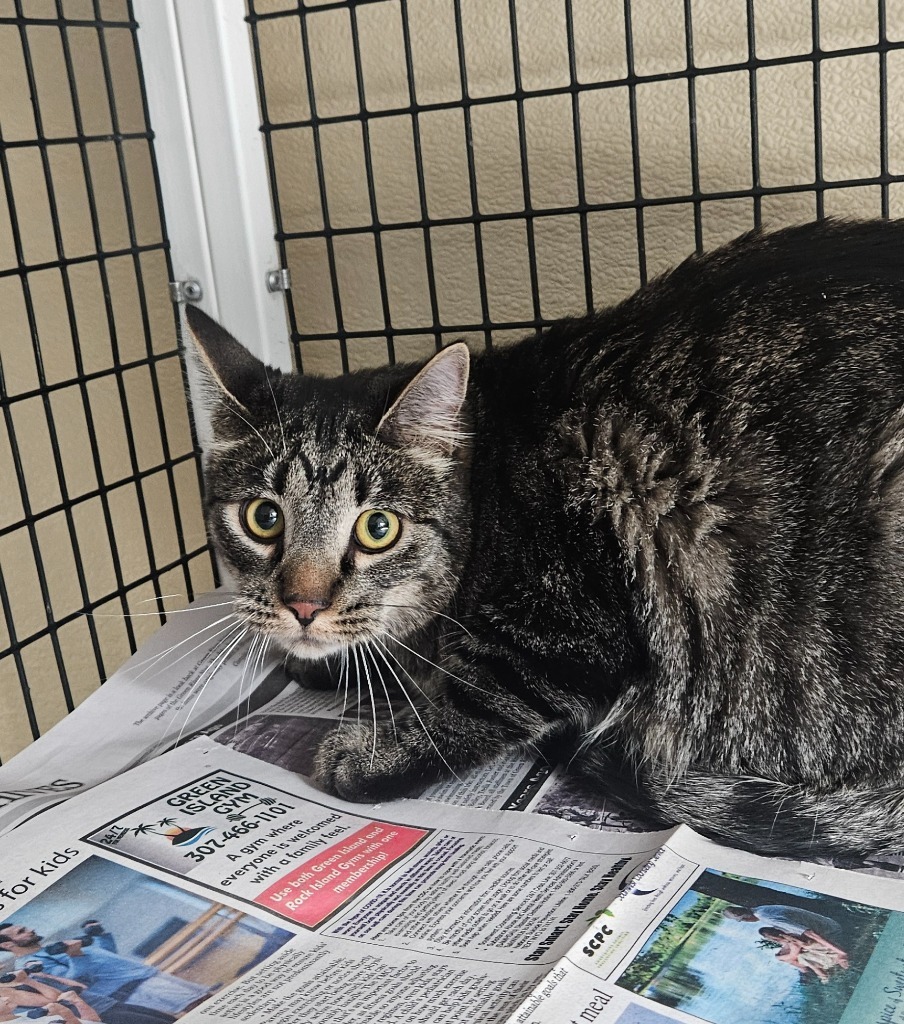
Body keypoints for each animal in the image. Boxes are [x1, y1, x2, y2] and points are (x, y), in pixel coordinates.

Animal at [189, 220, 904, 860]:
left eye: (377, 528)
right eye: (263, 518)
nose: (303, 605)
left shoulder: (566, 626)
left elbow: (479, 699)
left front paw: (371, 752)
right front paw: (334, 662)